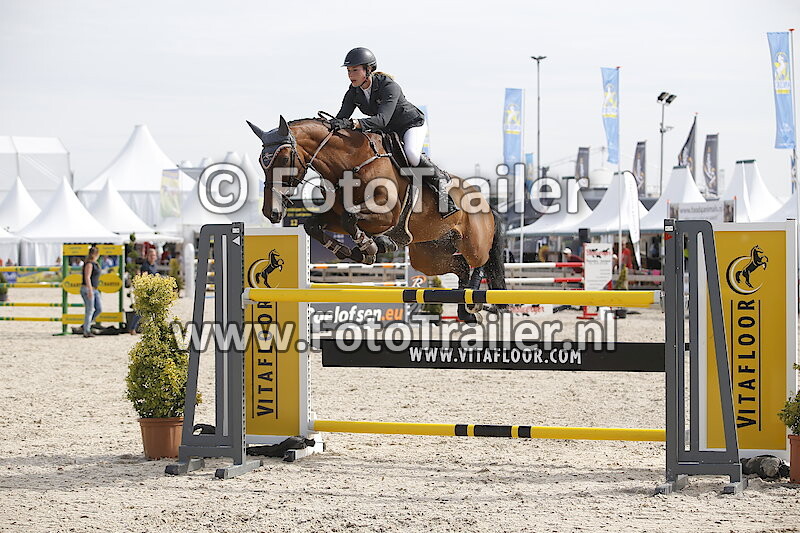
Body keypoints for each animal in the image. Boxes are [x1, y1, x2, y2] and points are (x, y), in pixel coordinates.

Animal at [247, 115, 506, 322]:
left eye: (283, 159)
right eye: (261, 162)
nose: (271, 212)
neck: (349, 163)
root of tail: (486, 202)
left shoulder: (385, 214)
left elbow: (351, 219)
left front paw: (371, 247)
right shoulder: (336, 216)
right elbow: (314, 225)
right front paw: (353, 250)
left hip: (472, 243)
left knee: (479, 262)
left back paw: (475, 303)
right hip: (428, 256)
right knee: (460, 266)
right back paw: (465, 311)